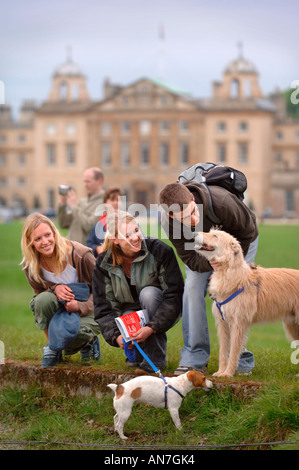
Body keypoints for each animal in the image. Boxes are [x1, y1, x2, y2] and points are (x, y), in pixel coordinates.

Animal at [195, 229, 299, 378]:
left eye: (215, 235)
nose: (194, 233)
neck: (229, 272)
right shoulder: (223, 323)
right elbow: (223, 351)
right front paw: (220, 372)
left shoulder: (239, 323)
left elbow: (233, 351)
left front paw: (227, 374)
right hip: (293, 325)